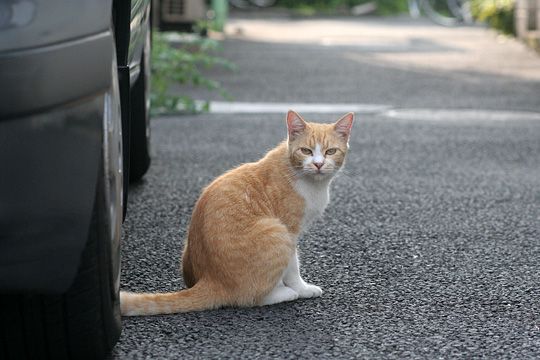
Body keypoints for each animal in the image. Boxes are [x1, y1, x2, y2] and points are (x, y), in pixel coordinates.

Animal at [119, 109, 352, 316]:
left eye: (330, 152)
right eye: (306, 151)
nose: (318, 164)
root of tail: (211, 279)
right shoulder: (290, 230)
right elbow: (293, 267)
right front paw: (302, 289)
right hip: (276, 232)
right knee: (249, 298)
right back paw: (285, 293)